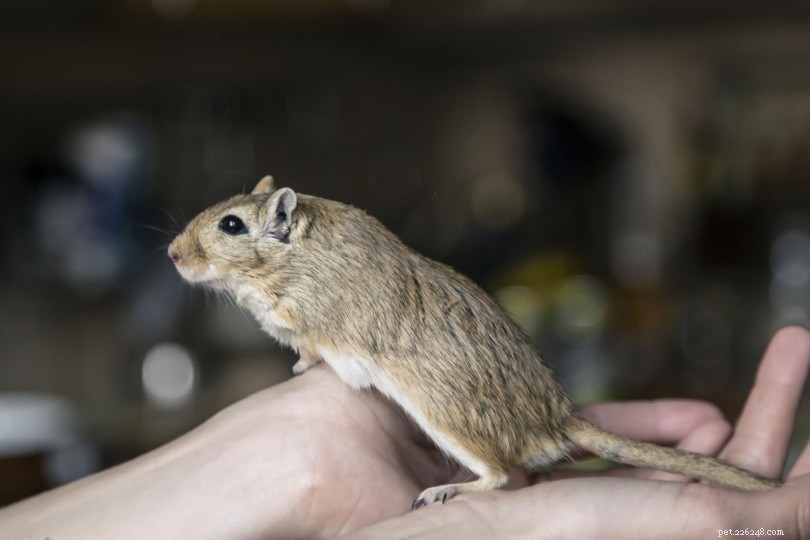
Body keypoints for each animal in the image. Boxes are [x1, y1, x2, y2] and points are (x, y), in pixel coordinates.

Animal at [168, 176, 780, 508]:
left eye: (230, 225)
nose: (172, 255)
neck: (291, 258)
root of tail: (560, 420)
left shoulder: (312, 323)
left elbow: (310, 350)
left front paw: (297, 369)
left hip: (446, 416)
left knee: (499, 474)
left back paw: (443, 493)